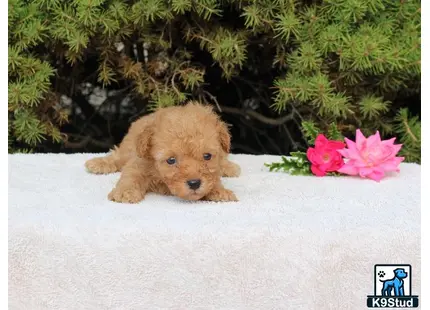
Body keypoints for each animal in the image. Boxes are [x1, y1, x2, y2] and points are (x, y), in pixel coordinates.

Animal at [85, 101, 242, 203]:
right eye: (171, 160)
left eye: (207, 156)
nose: (194, 183)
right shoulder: (138, 164)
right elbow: (131, 177)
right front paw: (125, 192)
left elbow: (214, 177)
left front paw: (220, 191)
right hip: (128, 149)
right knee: (118, 155)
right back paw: (98, 163)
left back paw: (229, 167)